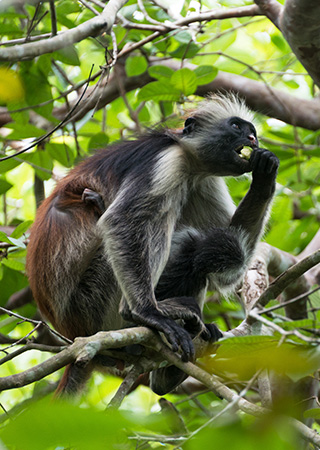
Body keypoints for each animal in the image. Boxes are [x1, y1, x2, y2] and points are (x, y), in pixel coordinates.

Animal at [26, 94, 278, 394]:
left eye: (251, 130)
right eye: (237, 126)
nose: (252, 138)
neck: (187, 156)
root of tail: (70, 330)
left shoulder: (203, 180)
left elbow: (231, 261)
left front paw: (265, 177)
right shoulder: (166, 162)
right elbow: (122, 220)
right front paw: (147, 313)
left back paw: (168, 372)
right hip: (91, 302)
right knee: (166, 228)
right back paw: (143, 313)